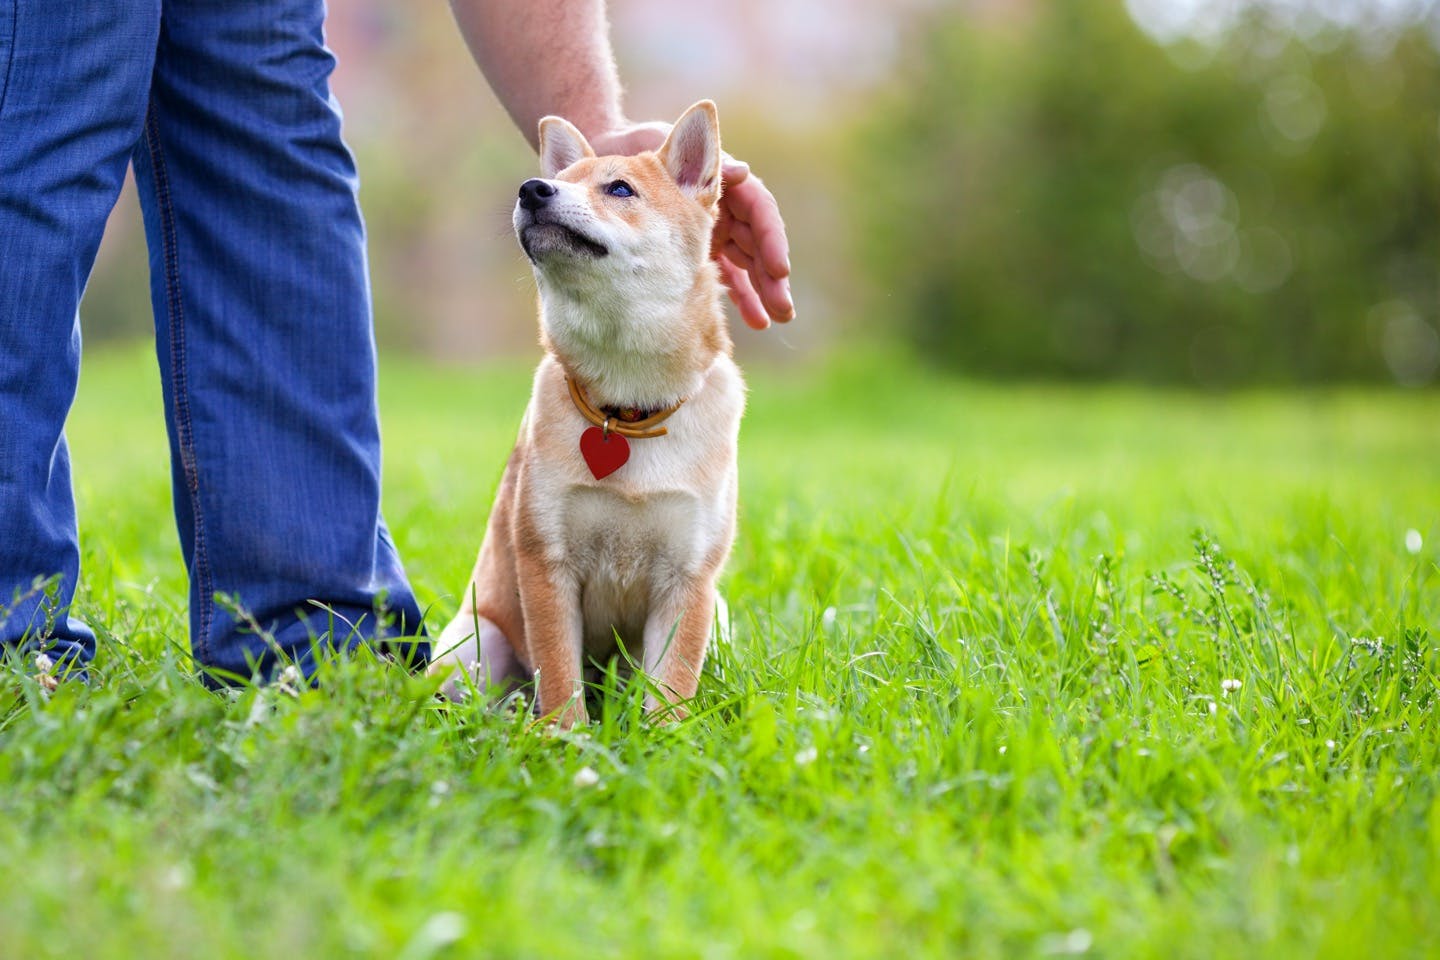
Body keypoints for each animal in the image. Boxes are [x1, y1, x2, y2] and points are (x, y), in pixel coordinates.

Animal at [426, 99, 743, 728]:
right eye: (560, 178)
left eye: (619, 188)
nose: (531, 189)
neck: (625, 410)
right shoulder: (546, 562)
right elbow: (559, 677)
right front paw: (564, 740)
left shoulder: (689, 579)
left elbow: (671, 689)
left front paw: (664, 742)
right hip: (474, 646)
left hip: (719, 621)